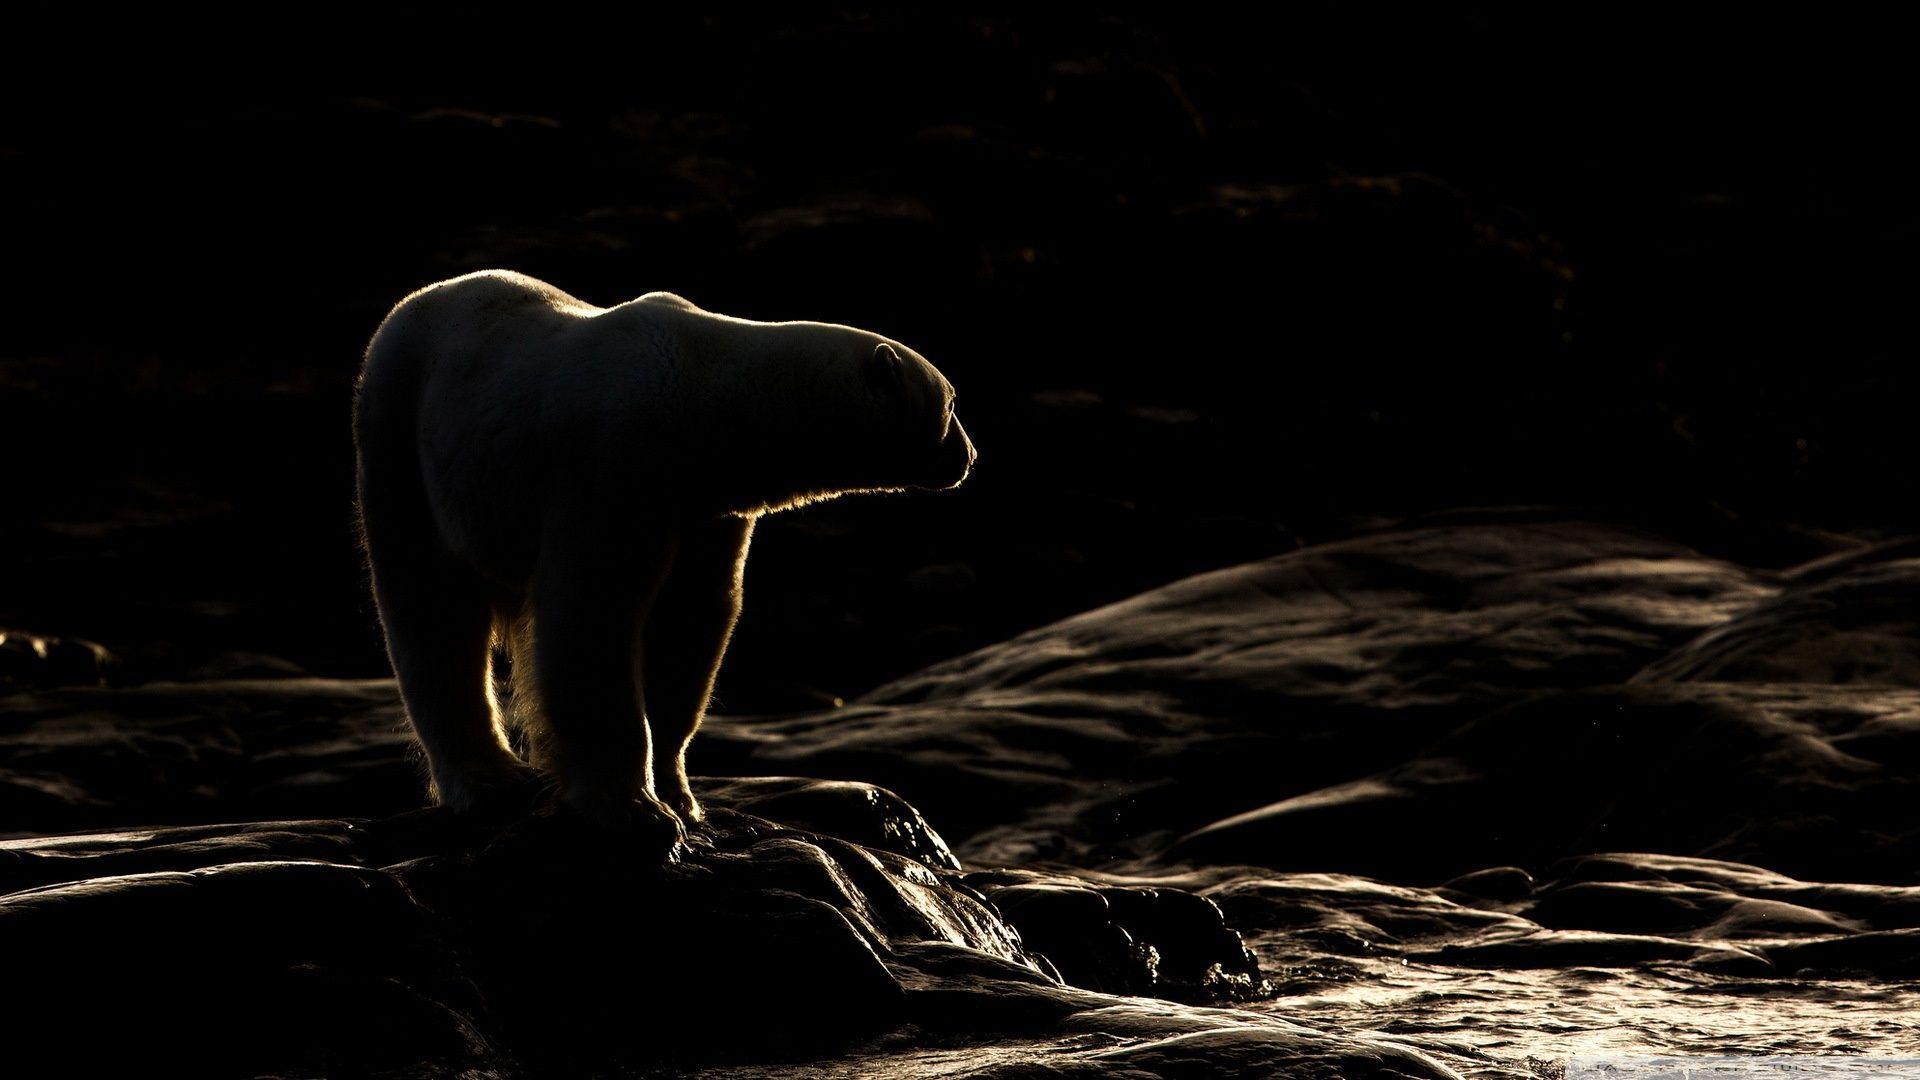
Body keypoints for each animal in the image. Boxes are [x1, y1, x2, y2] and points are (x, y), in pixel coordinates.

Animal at [353, 270, 973, 834]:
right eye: (950, 403)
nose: (968, 456)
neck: (707, 399)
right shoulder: (617, 462)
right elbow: (593, 610)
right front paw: (631, 807)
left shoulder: (706, 509)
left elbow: (691, 621)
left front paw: (680, 794)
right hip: (401, 432)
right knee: (428, 609)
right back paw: (489, 782)